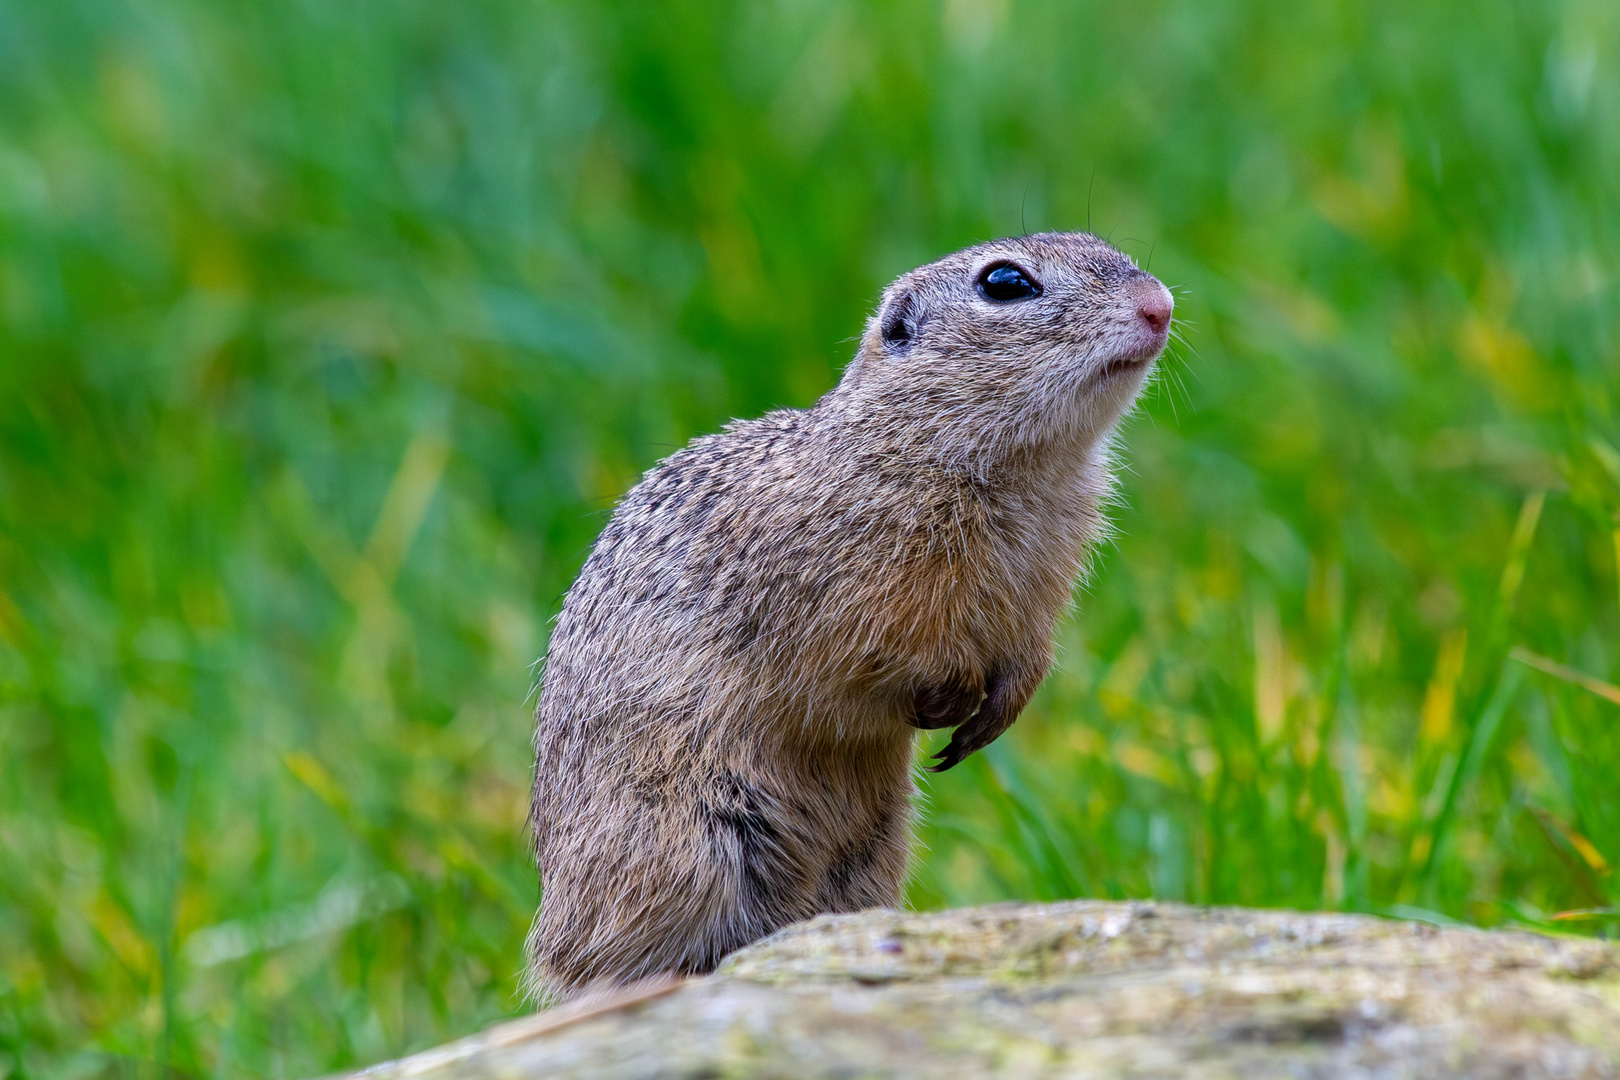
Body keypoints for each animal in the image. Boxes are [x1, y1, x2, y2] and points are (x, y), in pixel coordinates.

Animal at [531, 233, 1179, 1003]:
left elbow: (1030, 654)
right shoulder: (863, 592)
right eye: (1005, 282)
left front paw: (996, 714)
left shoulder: (1041, 591)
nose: (1160, 305)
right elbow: (896, 649)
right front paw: (949, 700)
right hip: (685, 846)